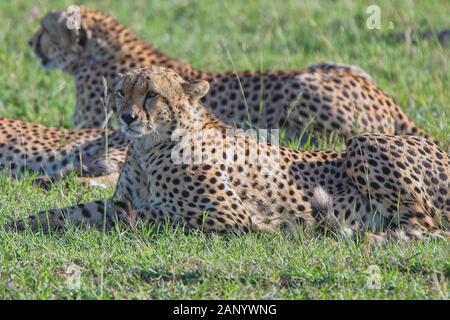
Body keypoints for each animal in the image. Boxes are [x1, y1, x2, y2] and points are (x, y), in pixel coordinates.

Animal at [7, 68, 450, 242]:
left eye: (151, 94)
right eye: (121, 91)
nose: (127, 117)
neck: (150, 147)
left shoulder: (227, 217)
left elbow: (139, 216)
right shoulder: (118, 199)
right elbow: (74, 210)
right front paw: (21, 224)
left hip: (363, 141)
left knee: (428, 228)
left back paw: (367, 237)